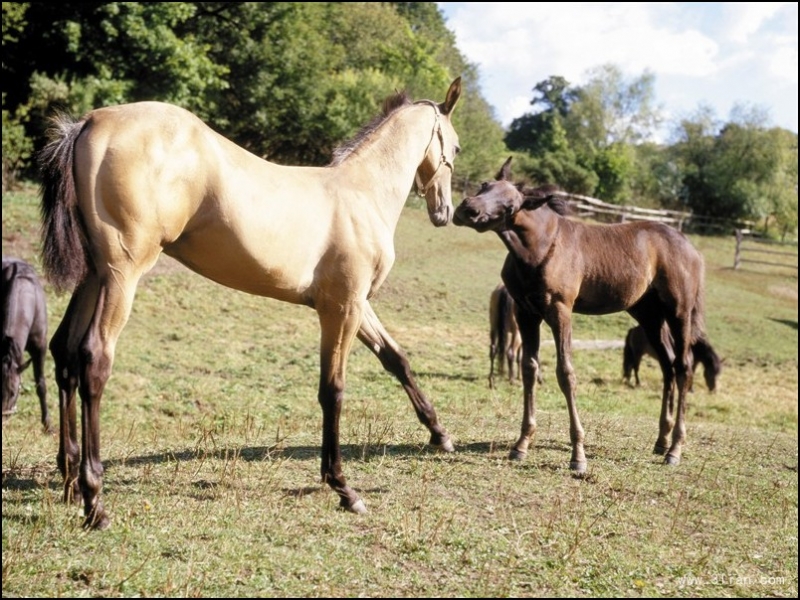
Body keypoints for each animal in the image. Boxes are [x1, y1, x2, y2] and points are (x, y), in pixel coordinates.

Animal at [37, 76, 462, 528]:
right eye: (454, 148)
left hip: (94, 275)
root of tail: (90, 121)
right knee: (93, 359)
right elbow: (333, 390)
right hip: (122, 274)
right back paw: (94, 501)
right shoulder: (342, 308)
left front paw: (439, 434)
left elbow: (396, 359)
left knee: (64, 353)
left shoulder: (355, 305)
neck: (361, 193)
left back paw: (69, 480)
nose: (444, 211)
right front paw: (343, 488)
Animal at [454, 156, 720, 474]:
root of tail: (693, 250)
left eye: (511, 206)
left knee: (683, 367)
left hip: (679, 312)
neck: (541, 249)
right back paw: (661, 441)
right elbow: (529, 368)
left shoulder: (560, 310)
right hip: (649, 315)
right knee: (668, 366)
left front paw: (578, 456)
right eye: (485, 185)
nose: (467, 209)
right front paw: (521, 444)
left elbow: (565, 373)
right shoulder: (526, 313)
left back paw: (675, 449)